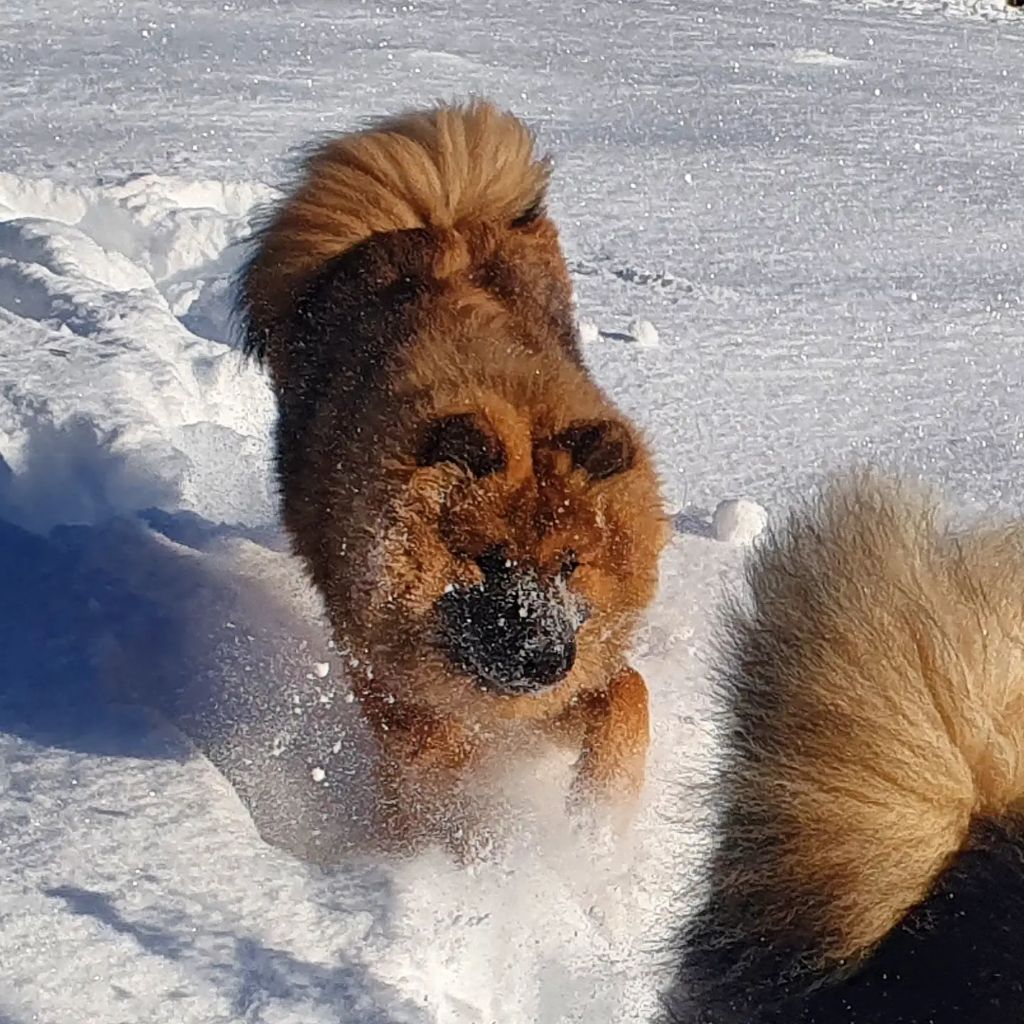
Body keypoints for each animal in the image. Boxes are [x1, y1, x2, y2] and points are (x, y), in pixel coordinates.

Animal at [235, 101, 667, 856]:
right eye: (488, 560)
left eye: (572, 563)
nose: (543, 659)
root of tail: (432, 215)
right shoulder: (394, 681)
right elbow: (438, 766)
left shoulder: (555, 690)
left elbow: (627, 695)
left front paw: (595, 820)